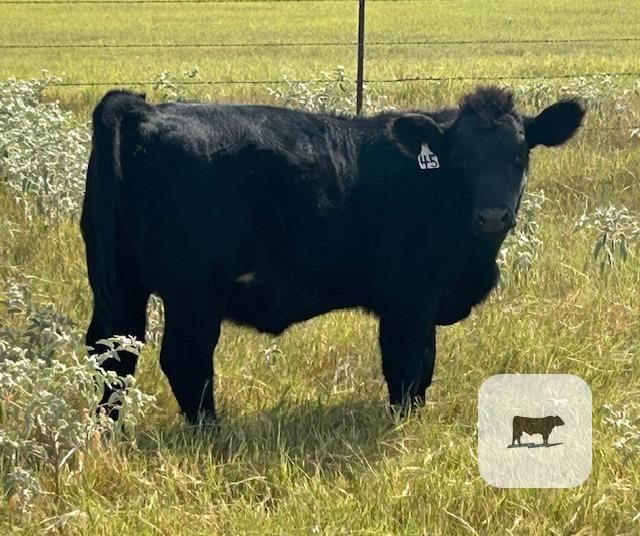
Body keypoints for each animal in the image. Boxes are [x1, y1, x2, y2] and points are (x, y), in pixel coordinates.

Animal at [80, 86, 585, 424]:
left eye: (520, 154)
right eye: (460, 160)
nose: (493, 215)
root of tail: (139, 108)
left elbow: (423, 365)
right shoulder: (408, 298)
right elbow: (408, 364)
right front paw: (406, 423)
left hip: (118, 285)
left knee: (112, 355)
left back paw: (107, 433)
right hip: (194, 290)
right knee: (184, 358)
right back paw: (209, 431)